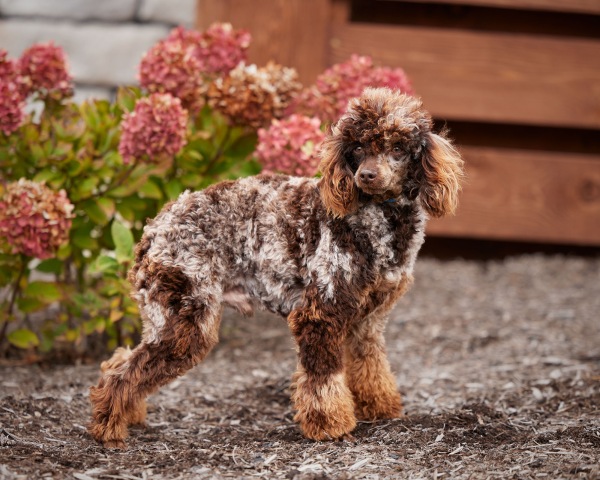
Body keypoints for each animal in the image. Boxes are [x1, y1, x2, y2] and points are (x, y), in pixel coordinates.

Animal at [88, 85, 464, 446]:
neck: (378, 220)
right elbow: (322, 380)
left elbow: (371, 367)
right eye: (357, 147)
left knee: (118, 361)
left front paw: (380, 408)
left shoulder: (367, 321)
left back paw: (126, 415)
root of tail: (153, 229)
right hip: (186, 320)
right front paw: (330, 426)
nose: (367, 175)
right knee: (123, 373)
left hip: (166, 316)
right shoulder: (319, 314)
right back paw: (109, 429)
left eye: (398, 147)